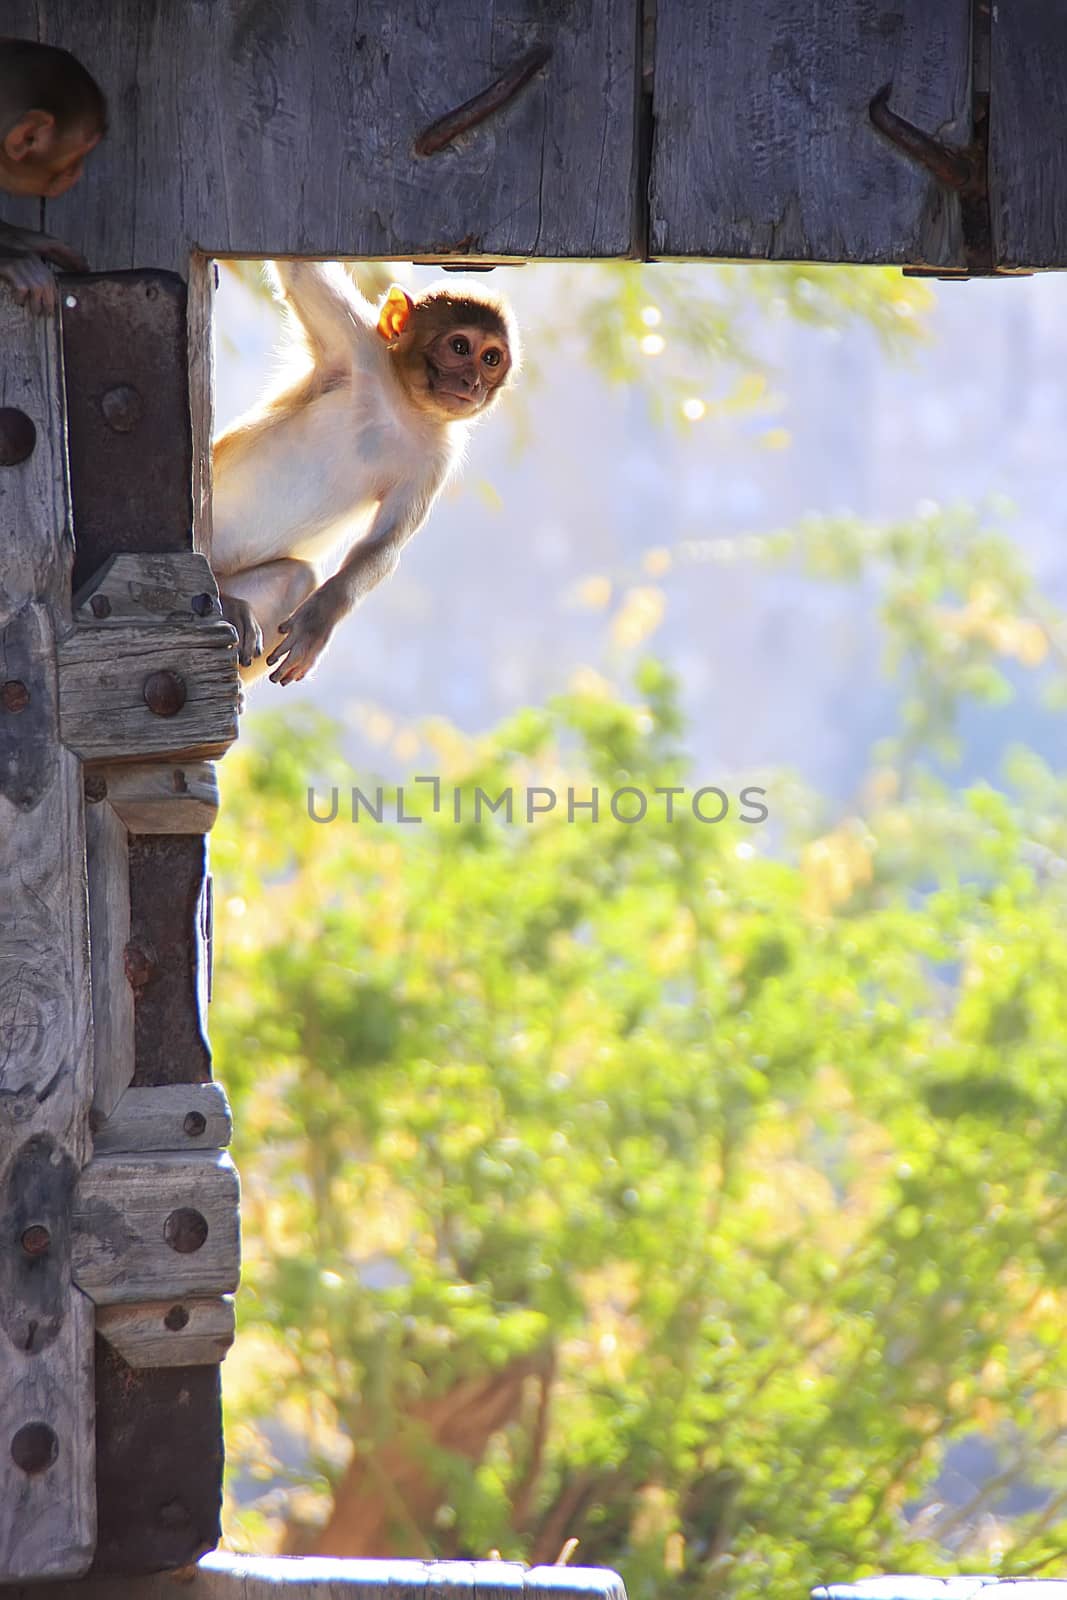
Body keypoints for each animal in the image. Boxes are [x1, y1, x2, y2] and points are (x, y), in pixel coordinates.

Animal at [211, 259, 518, 684]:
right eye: (460, 347)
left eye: (491, 358)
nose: (472, 383)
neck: (405, 405)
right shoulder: (358, 342)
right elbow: (298, 270)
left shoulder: (435, 460)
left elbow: (382, 544)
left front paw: (322, 615)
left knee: (297, 579)